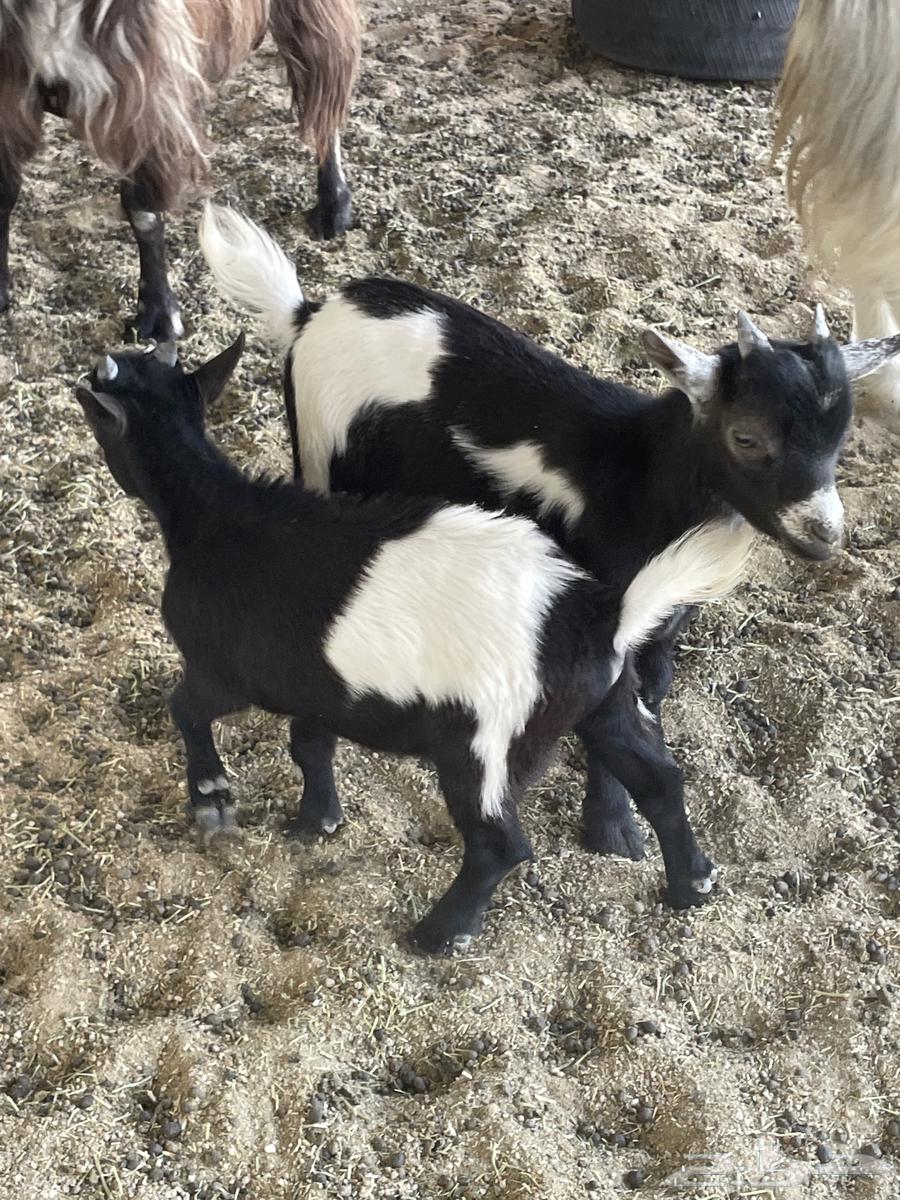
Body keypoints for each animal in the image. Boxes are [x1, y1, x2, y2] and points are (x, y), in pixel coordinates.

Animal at [75, 337, 752, 951]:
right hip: (608, 702)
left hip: (484, 742)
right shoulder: (319, 683)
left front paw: (212, 798)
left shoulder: (224, 667)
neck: (213, 516)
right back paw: (692, 885)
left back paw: (437, 934)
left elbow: (186, 708)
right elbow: (309, 744)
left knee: (500, 843)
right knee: (660, 780)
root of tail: (599, 615)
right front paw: (318, 820)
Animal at [198, 203, 900, 875]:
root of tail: (308, 314)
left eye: (841, 437)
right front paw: (613, 831)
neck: (635, 475)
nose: (823, 534)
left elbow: (649, 701)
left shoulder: (662, 623)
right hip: (320, 453)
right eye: (746, 437)